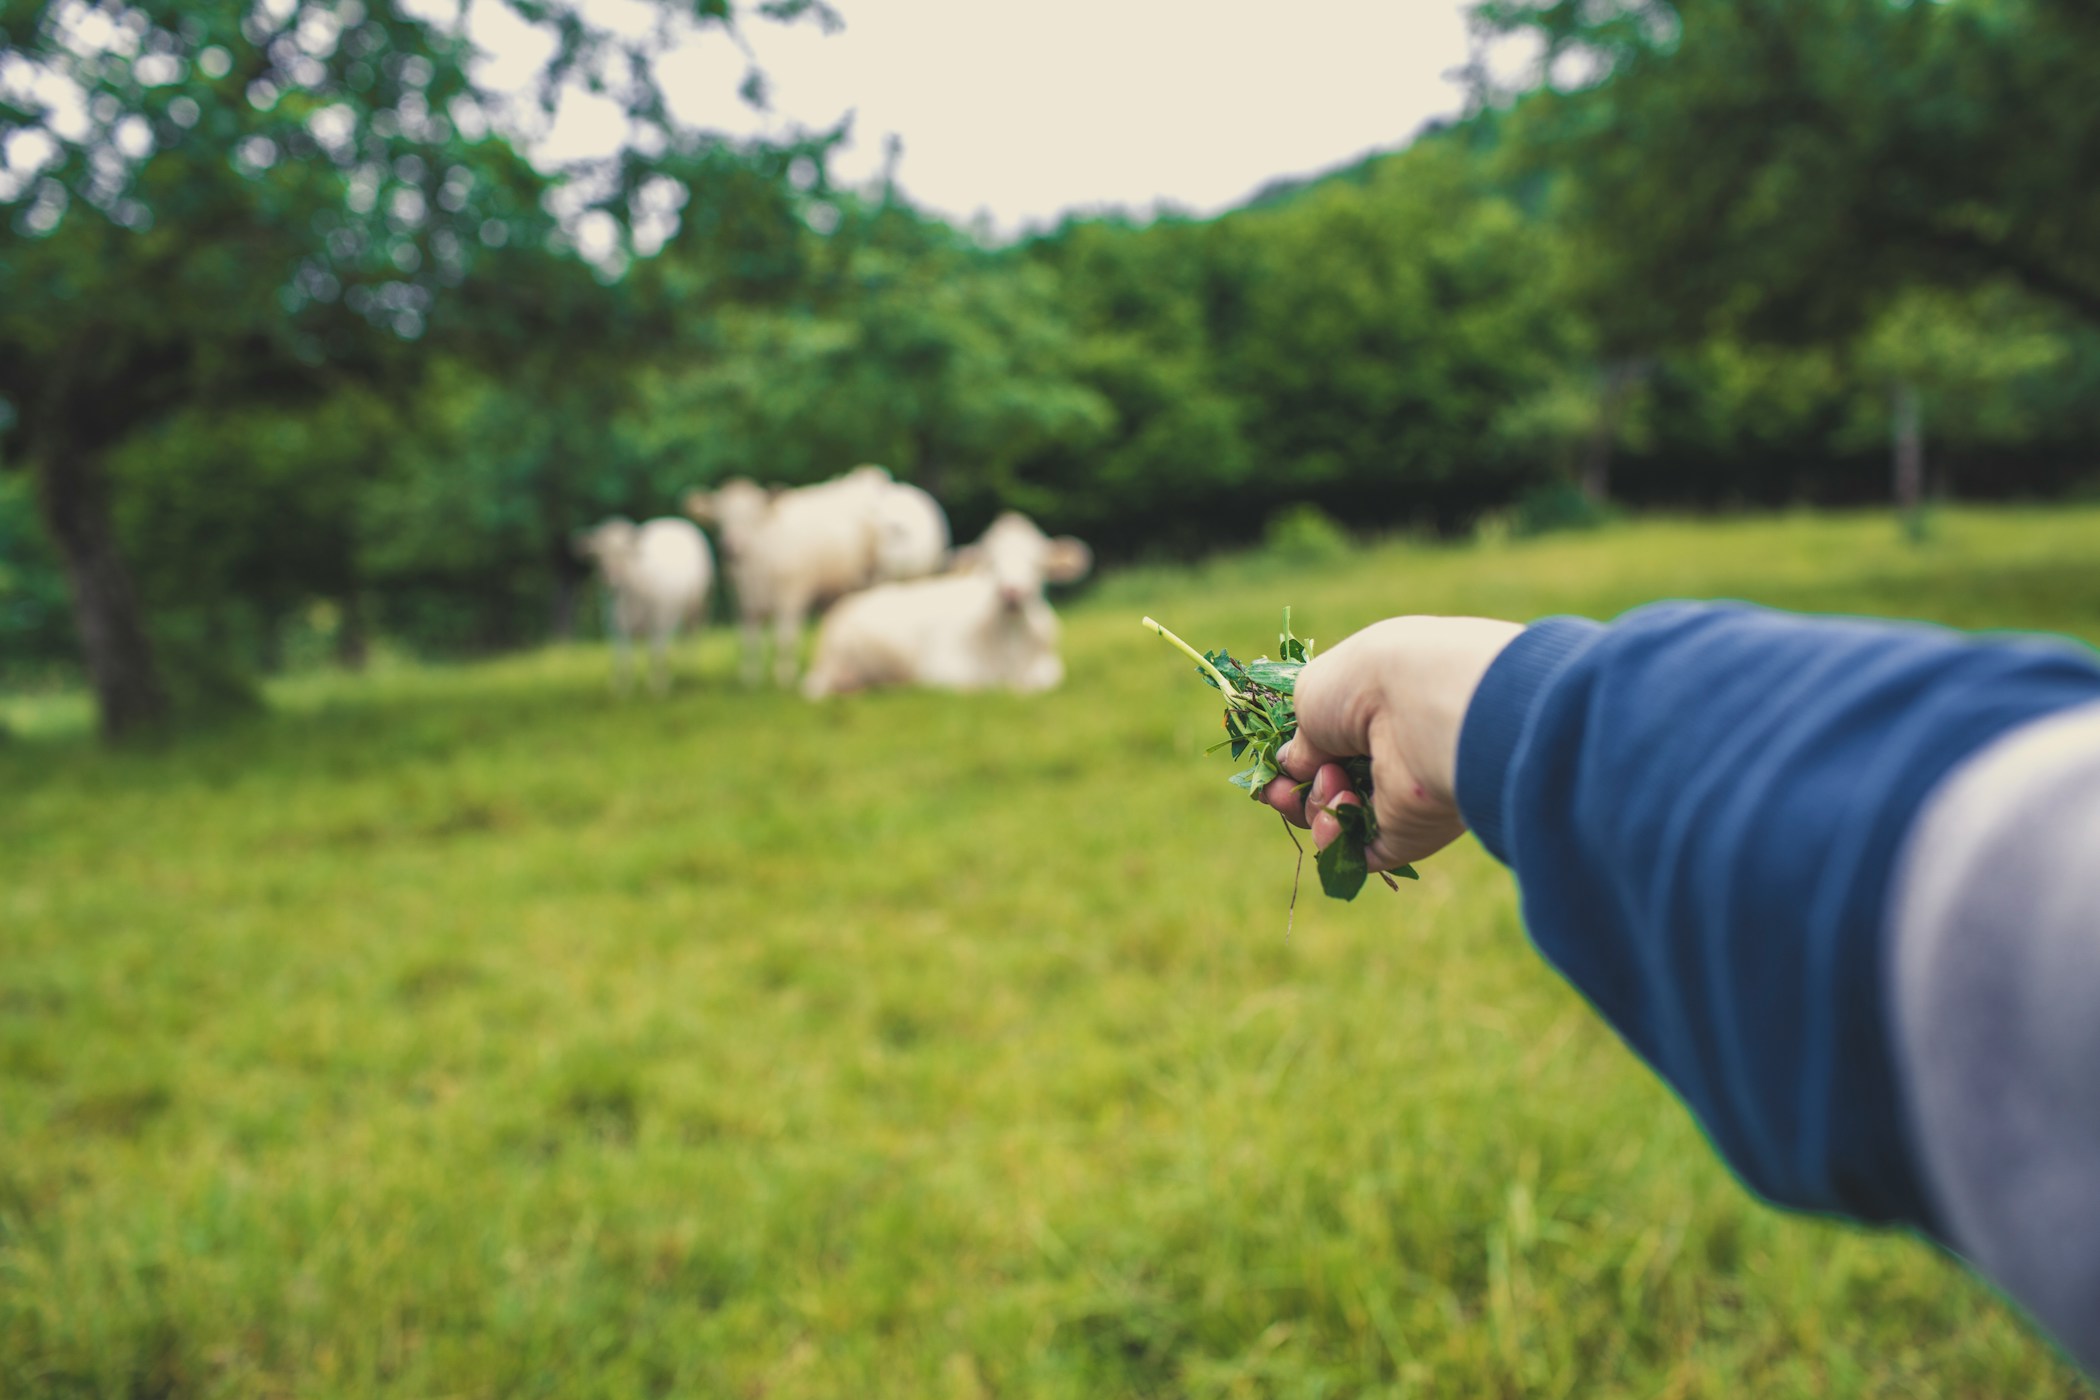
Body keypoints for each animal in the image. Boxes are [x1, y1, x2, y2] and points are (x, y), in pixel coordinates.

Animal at [571, 514, 718, 696]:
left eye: (624, 552)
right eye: (598, 555)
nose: (608, 578)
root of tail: (674, 520)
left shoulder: (659, 620)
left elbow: (655, 652)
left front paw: (657, 686)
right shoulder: (615, 625)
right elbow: (623, 656)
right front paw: (623, 688)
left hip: (697, 607)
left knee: (691, 638)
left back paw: (688, 670)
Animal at [797, 512, 1100, 696]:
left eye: (1037, 562)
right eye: (991, 562)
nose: (1011, 591)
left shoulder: (1050, 668)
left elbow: (1042, 683)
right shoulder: (944, 672)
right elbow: (976, 687)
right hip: (833, 662)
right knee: (816, 690)